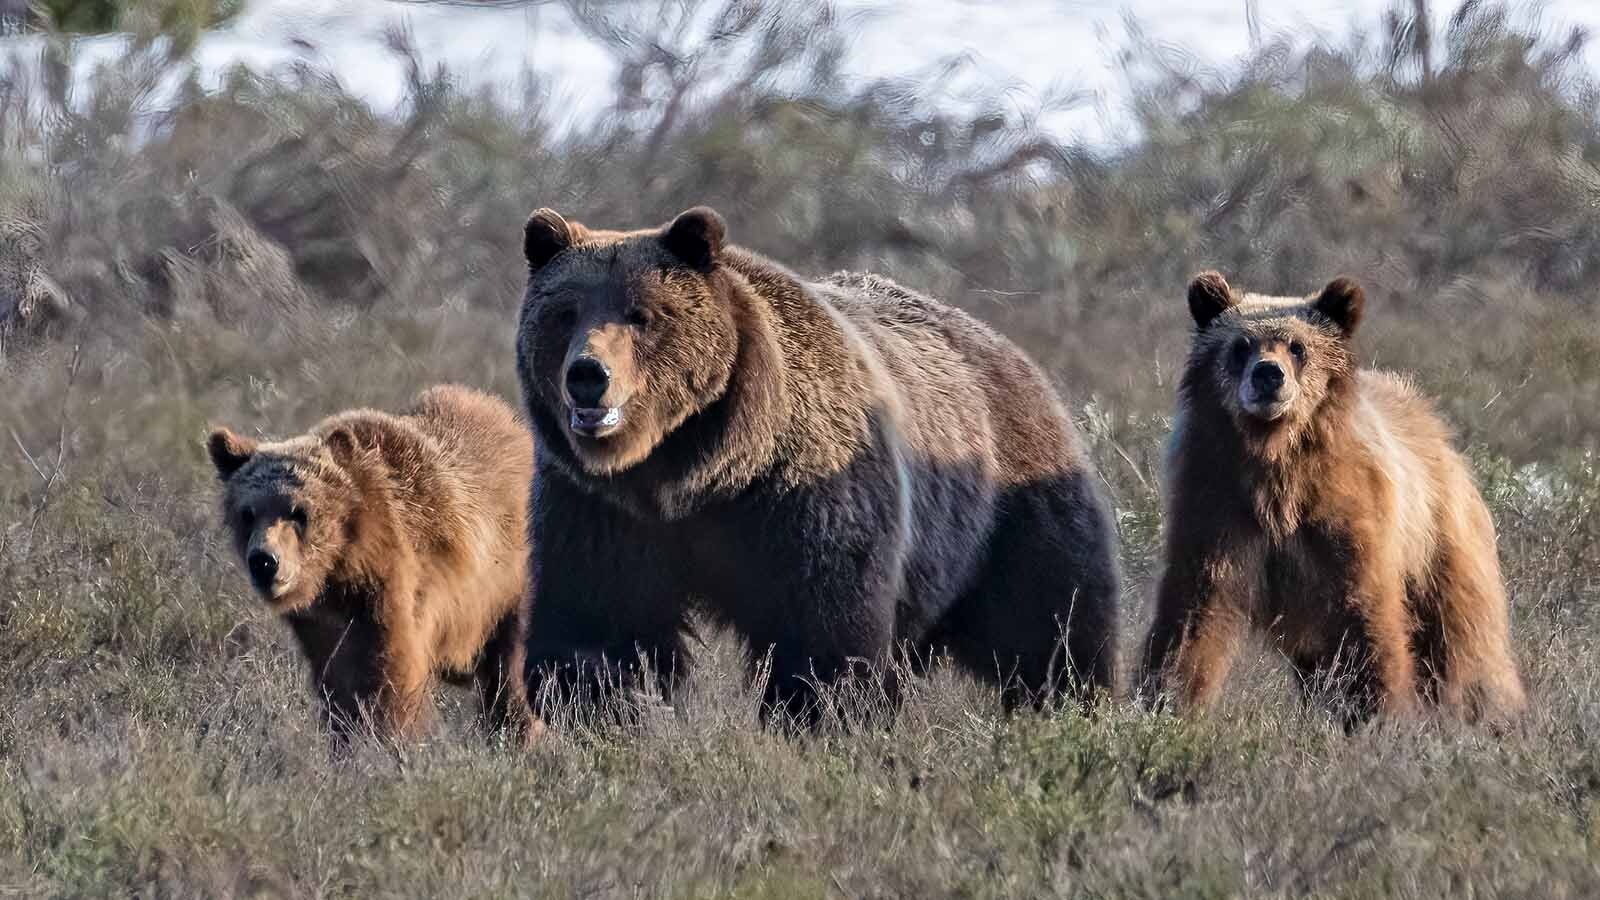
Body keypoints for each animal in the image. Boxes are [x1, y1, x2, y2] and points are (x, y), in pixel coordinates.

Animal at [207, 385, 541, 744]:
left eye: (299, 512)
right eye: (247, 513)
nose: (265, 561)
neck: (338, 569)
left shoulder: (392, 588)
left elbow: (388, 675)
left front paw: (388, 736)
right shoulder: (319, 623)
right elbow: (336, 682)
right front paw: (344, 734)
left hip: (507, 585)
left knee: (510, 670)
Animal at [513, 205, 1120, 726]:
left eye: (641, 314)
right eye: (565, 313)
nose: (588, 374)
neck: (695, 473)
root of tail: (1016, 354)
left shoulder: (807, 488)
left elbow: (825, 629)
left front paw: (819, 714)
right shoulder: (603, 509)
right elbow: (599, 627)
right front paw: (597, 709)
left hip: (1009, 509)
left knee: (1049, 621)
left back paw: (1073, 703)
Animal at [1137, 271, 1526, 725]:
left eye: (1298, 346)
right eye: (1240, 345)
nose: (1268, 375)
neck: (1276, 461)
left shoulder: (1344, 518)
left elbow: (1365, 618)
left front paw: (1381, 712)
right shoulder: (1216, 506)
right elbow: (1192, 616)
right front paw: (1166, 700)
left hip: (1439, 543)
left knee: (1464, 638)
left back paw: (1496, 713)